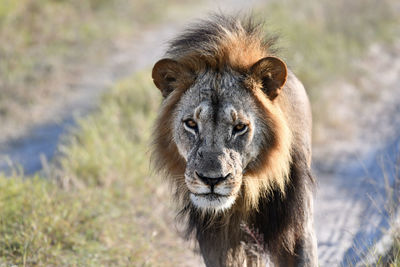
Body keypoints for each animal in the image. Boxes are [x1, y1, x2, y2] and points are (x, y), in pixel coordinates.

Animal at [152, 15, 318, 267]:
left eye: (239, 127)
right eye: (191, 124)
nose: (212, 180)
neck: (246, 195)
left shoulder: (297, 227)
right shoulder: (215, 240)